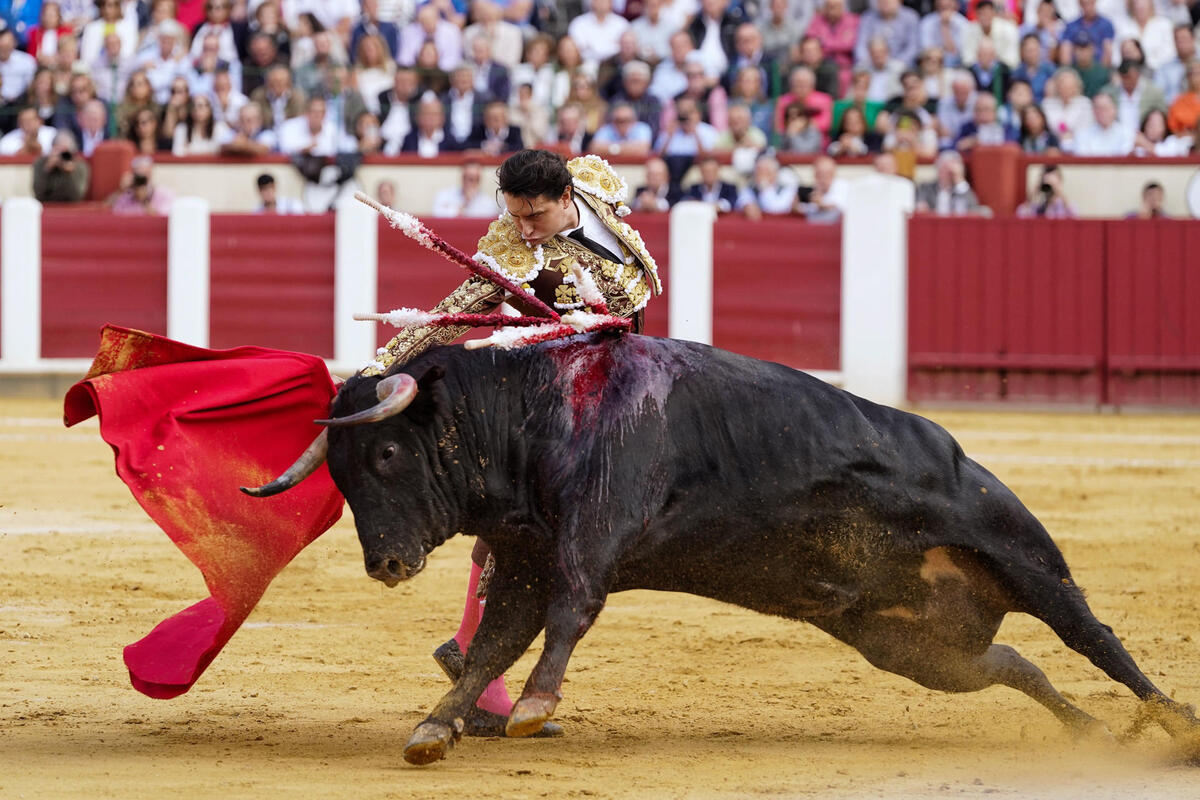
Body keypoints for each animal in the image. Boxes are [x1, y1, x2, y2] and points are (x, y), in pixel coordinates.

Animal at [324, 331, 1195, 762]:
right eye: (338, 471)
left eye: (387, 453)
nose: (385, 565)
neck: (531, 411)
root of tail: (964, 457)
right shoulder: (525, 561)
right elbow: (490, 646)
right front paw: (436, 728)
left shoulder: (587, 540)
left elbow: (568, 615)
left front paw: (535, 708)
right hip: (913, 646)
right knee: (1013, 664)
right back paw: (1090, 734)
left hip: (1028, 562)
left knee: (1096, 638)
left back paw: (1175, 724)